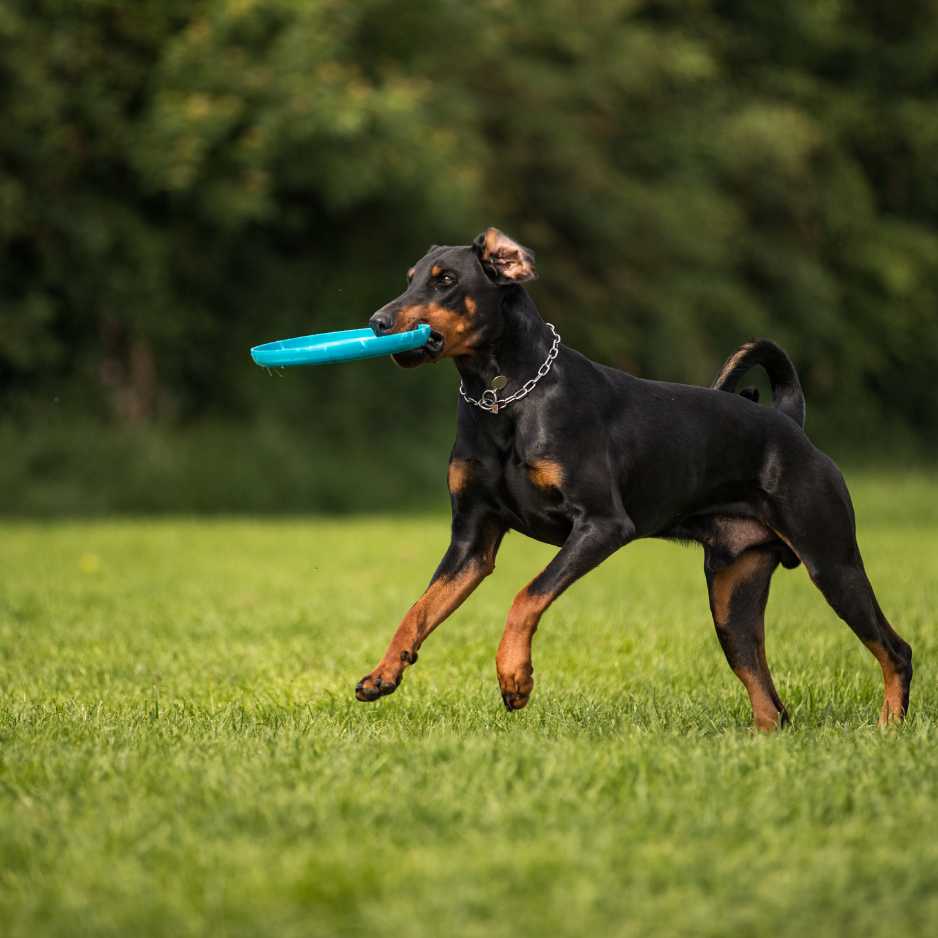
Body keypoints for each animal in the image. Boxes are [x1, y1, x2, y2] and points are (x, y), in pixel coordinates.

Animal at [354, 229, 912, 732]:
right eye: (409, 279)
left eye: (446, 280)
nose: (378, 323)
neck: (503, 396)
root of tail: (789, 423)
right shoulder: (472, 541)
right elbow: (419, 609)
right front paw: (383, 673)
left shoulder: (601, 525)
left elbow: (527, 594)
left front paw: (515, 678)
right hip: (733, 596)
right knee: (770, 702)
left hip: (832, 562)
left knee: (896, 649)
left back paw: (890, 725)